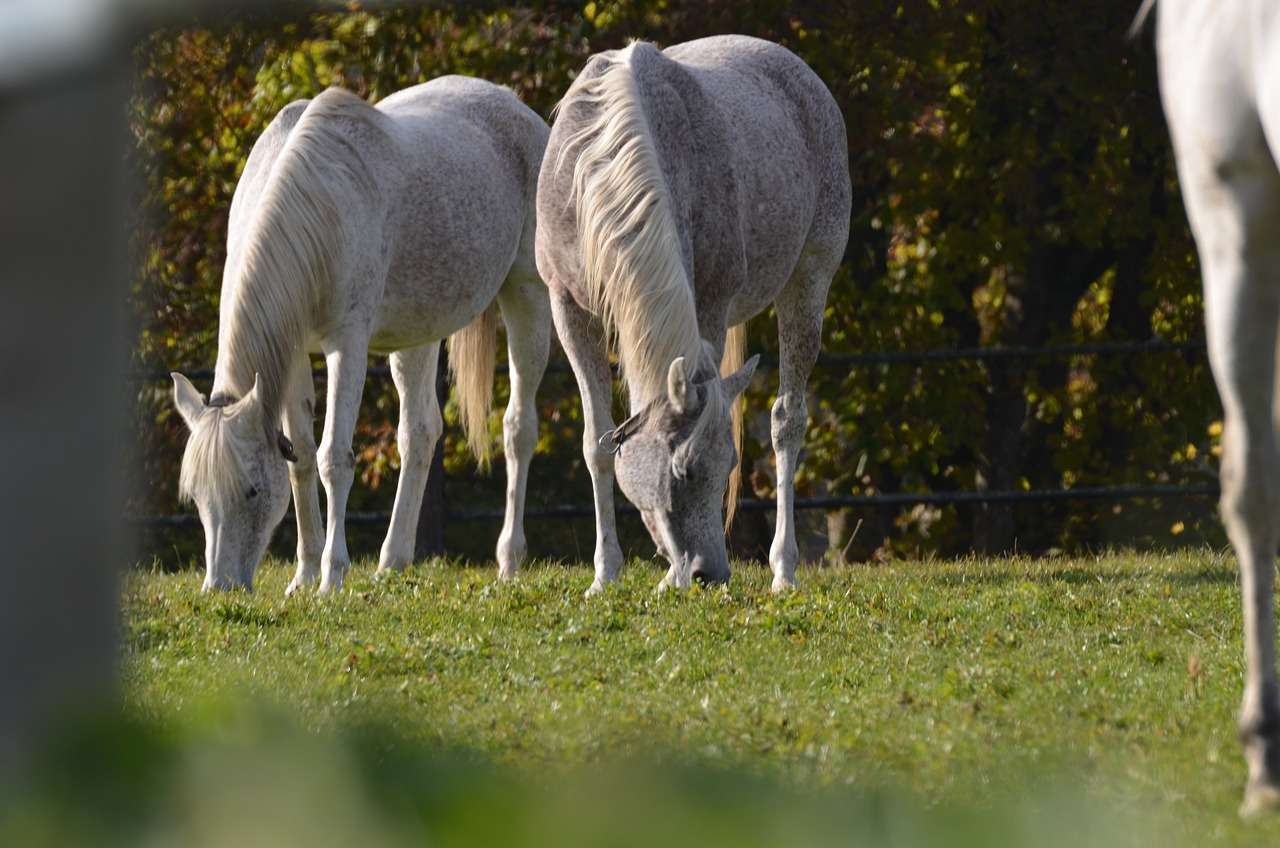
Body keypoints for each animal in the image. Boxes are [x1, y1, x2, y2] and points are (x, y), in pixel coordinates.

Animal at [170, 77, 551, 594]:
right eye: (196, 496)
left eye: (250, 491)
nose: (219, 587)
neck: (316, 208)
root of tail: (517, 108)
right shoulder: (292, 355)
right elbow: (301, 459)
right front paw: (305, 574)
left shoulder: (346, 346)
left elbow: (333, 456)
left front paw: (332, 576)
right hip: (417, 334)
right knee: (419, 433)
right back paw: (393, 560)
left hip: (527, 296)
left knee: (517, 428)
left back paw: (509, 559)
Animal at [536, 36, 850, 594]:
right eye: (680, 471)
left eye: (727, 465)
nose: (709, 573)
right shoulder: (567, 306)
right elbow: (597, 443)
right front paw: (604, 574)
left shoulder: (709, 305)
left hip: (810, 279)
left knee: (787, 421)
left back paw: (784, 571)